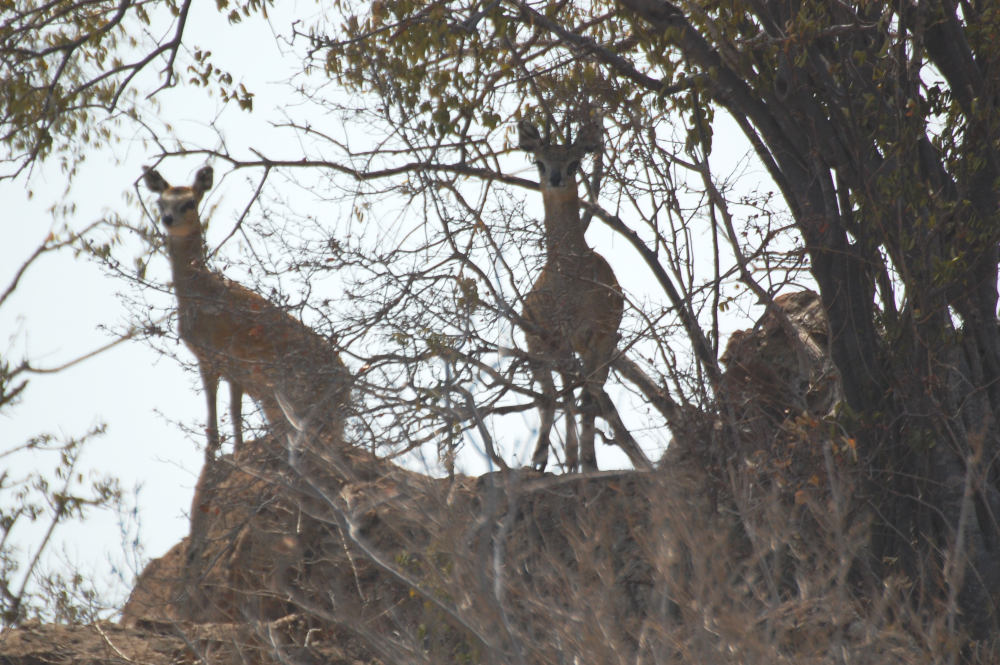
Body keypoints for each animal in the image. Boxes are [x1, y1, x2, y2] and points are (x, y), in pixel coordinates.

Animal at [143, 163, 350, 460]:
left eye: (190, 202)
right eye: (160, 202)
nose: (168, 219)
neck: (201, 296)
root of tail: (347, 387)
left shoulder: (222, 359)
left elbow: (224, 410)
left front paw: (219, 453)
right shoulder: (222, 365)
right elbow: (229, 410)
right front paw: (231, 450)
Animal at [516, 119, 648, 472]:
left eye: (575, 162)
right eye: (539, 161)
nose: (555, 178)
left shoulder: (599, 336)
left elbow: (588, 397)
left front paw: (590, 461)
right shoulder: (558, 337)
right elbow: (569, 396)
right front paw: (574, 458)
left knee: (580, 392)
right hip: (540, 349)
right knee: (553, 396)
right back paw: (545, 457)